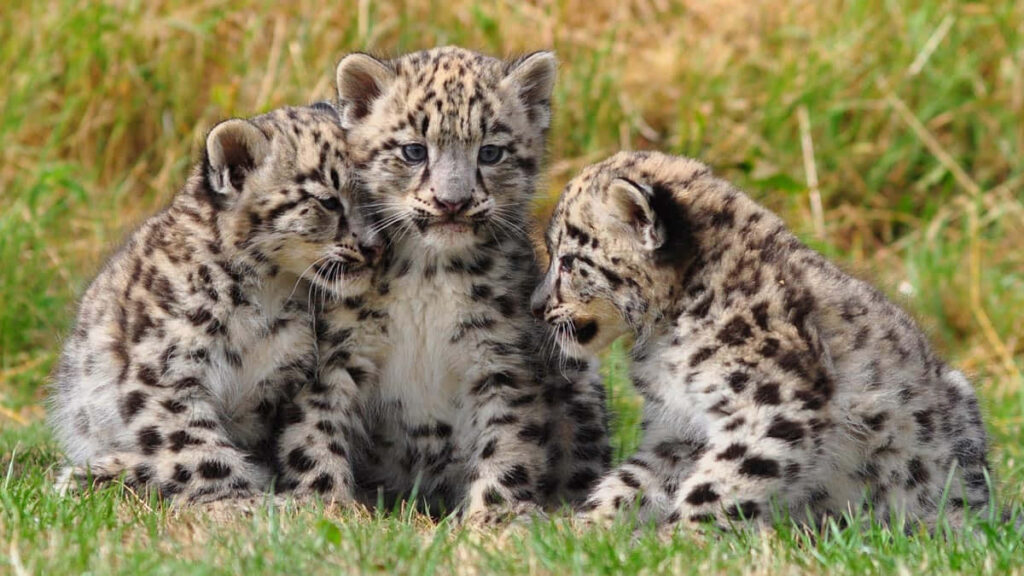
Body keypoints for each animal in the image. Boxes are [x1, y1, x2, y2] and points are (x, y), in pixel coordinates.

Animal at [49, 104, 383, 504]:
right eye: (329, 200)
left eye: (375, 198)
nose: (376, 247)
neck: (267, 295)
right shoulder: (165, 374)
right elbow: (201, 451)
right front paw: (247, 502)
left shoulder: (289, 381)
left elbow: (306, 438)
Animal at [291, 46, 612, 522]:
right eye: (413, 151)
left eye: (491, 152)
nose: (452, 202)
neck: (428, 272)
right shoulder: (337, 352)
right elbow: (317, 429)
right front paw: (322, 502)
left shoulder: (501, 359)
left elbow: (507, 441)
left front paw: (493, 515)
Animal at [531, 150, 993, 531]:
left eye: (569, 260)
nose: (536, 306)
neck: (665, 342)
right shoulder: (680, 428)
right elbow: (635, 479)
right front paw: (583, 528)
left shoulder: (773, 403)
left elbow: (722, 481)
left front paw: (682, 538)